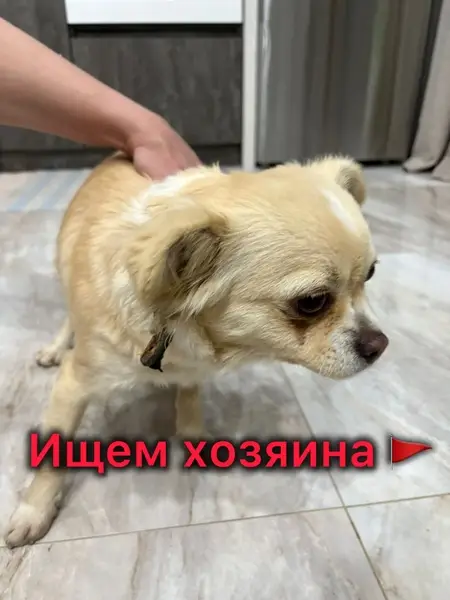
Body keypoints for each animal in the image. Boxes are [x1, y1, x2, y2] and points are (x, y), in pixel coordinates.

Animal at [5, 153, 388, 547]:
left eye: (370, 275)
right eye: (312, 302)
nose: (380, 344)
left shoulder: (192, 370)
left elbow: (189, 400)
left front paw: (193, 438)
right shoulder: (74, 385)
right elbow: (52, 457)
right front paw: (33, 512)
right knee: (68, 319)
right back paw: (54, 348)